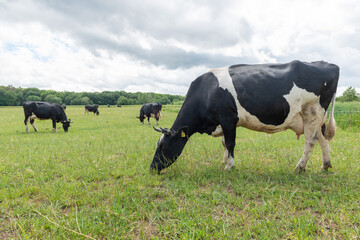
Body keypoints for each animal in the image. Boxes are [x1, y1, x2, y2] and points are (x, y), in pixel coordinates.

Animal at [150, 59, 340, 172]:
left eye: (164, 147)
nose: (152, 168)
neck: (208, 91)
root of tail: (329, 64)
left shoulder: (228, 118)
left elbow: (230, 142)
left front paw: (229, 166)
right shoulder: (223, 122)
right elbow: (224, 143)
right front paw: (225, 161)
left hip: (312, 110)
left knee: (310, 141)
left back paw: (299, 168)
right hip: (315, 117)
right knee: (322, 138)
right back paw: (325, 165)